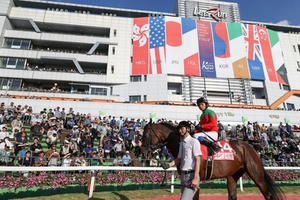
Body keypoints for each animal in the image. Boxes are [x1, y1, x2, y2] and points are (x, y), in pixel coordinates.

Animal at [142, 120, 284, 200]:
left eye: (146, 135)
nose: (143, 151)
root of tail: (250, 147)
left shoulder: (195, 180)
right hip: (233, 175)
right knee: (232, 196)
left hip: (256, 173)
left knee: (268, 195)